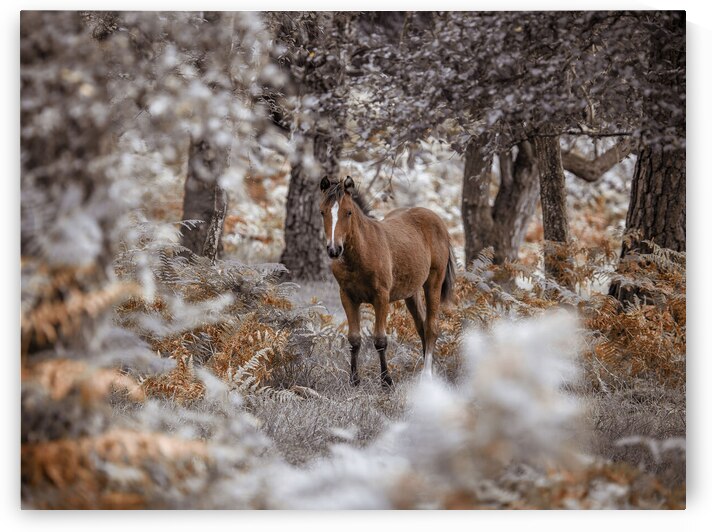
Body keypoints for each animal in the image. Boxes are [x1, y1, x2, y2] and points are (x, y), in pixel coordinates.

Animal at [319, 175, 456, 387]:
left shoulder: (381, 298)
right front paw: (354, 380)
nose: (334, 249)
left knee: (431, 327)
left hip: (433, 281)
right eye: (322, 212)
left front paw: (386, 381)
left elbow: (380, 340)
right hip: (411, 293)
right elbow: (354, 339)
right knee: (421, 326)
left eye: (348, 212)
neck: (362, 252)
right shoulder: (347, 297)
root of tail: (437, 220)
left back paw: (427, 375)